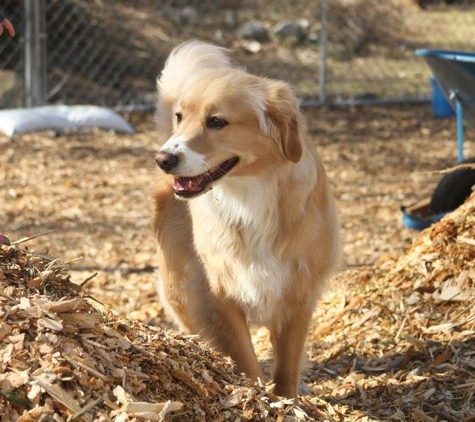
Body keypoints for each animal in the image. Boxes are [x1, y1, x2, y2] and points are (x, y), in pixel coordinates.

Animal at [153, 41, 342, 400]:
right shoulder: (222, 292)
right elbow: (246, 359)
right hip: (183, 288)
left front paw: (287, 399)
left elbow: (288, 364)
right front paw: (256, 396)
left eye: (216, 121)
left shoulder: (299, 293)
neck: (250, 196)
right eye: (180, 117)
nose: (163, 159)